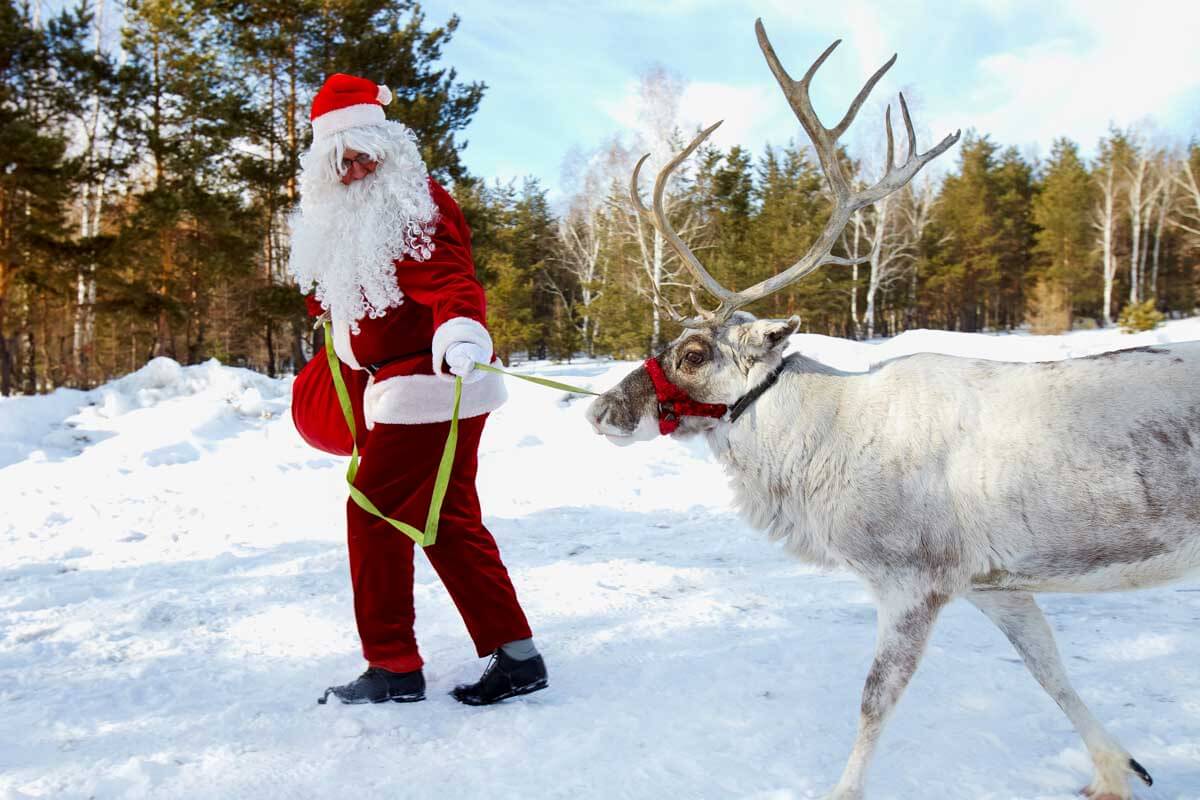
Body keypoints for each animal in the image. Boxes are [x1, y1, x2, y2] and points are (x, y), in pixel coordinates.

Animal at [586, 18, 1200, 800]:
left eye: (693, 354)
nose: (601, 410)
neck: (822, 446)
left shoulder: (912, 578)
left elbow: (875, 701)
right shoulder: (993, 582)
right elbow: (1049, 668)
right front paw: (1117, 769)